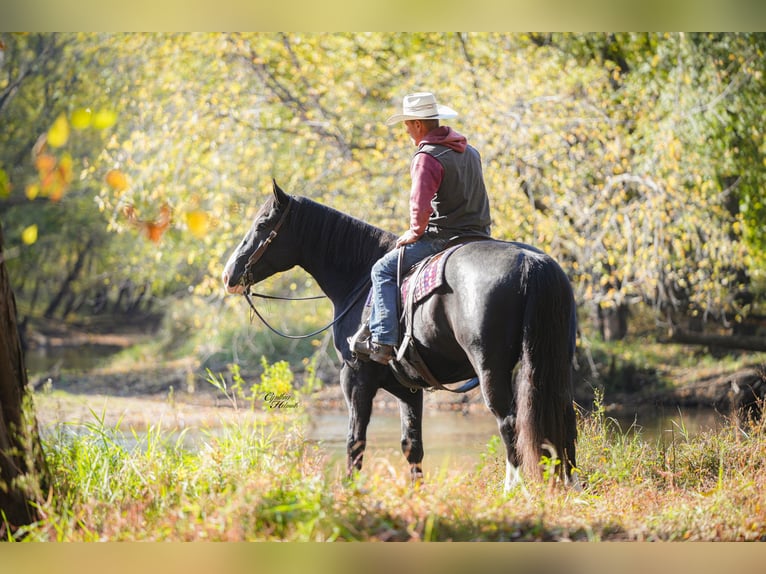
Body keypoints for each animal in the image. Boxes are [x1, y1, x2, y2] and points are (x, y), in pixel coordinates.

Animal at [222, 180, 578, 490]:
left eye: (262, 224)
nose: (229, 275)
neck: (358, 278)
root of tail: (532, 263)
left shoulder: (356, 377)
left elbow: (355, 441)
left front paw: (350, 492)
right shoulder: (409, 387)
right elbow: (412, 445)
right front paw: (416, 493)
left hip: (491, 369)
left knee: (510, 423)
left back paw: (514, 489)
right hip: (554, 366)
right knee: (564, 419)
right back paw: (571, 484)